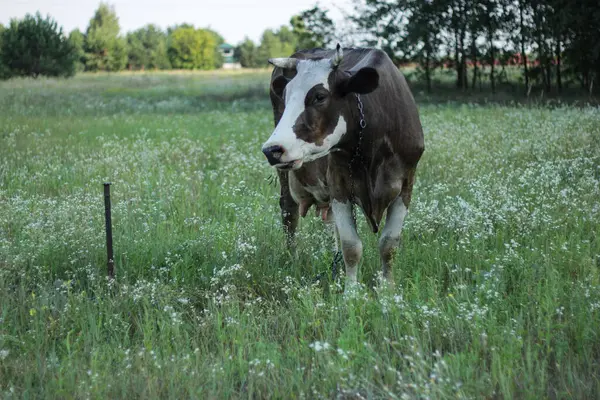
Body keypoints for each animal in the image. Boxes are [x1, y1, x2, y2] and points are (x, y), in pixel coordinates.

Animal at [264, 46, 426, 290]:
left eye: (319, 96)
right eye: (285, 96)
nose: (271, 149)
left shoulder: (406, 183)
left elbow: (389, 244)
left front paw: (388, 289)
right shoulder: (338, 183)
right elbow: (351, 246)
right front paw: (351, 292)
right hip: (287, 174)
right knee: (289, 211)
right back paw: (294, 260)